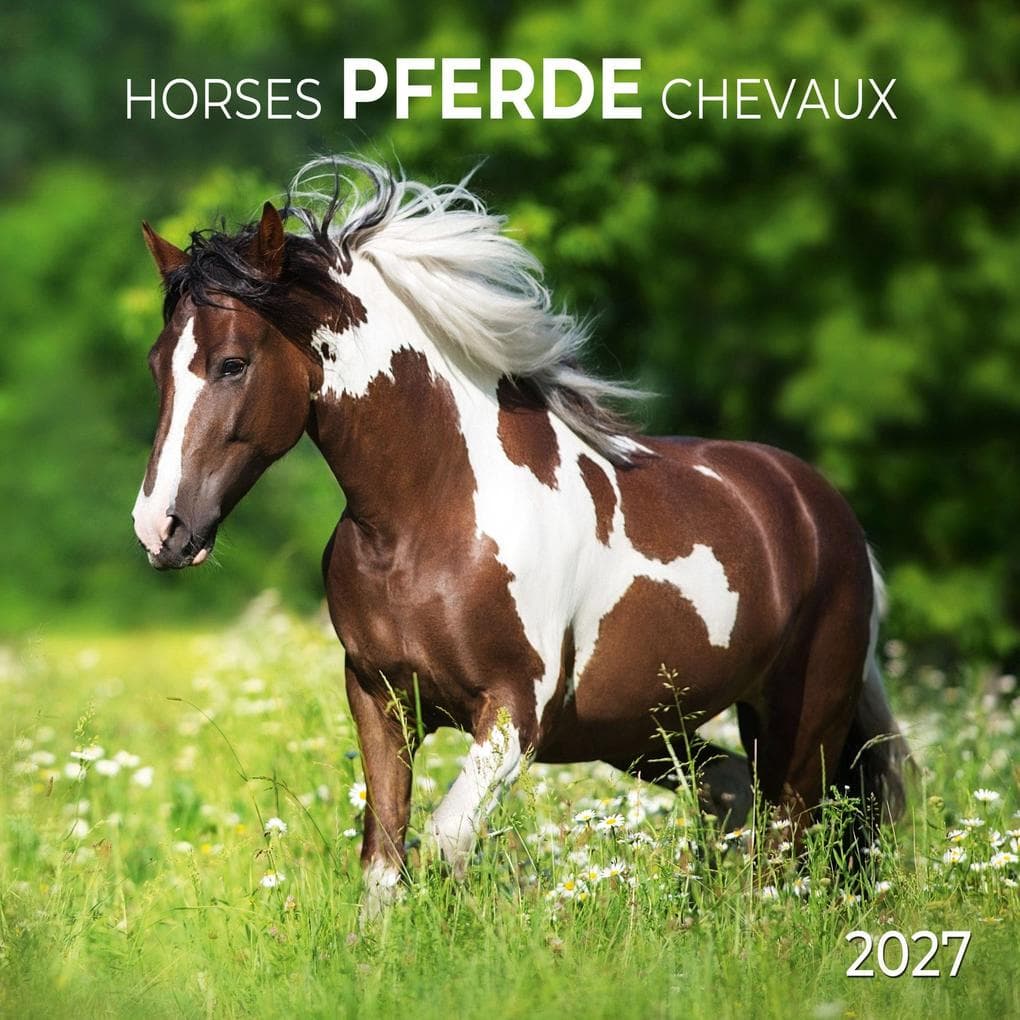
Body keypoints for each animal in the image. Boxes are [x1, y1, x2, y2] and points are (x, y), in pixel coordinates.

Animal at [132, 156, 907, 913]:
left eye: (233, 364)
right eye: (156, 365)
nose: (160, 527)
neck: (427, 522)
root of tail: (824, 509)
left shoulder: (514, 712)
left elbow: (446, 841)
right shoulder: (381, 701)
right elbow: (383, 860)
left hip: (801, 725)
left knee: (788, 843)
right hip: (646, 730)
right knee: (732, 797)